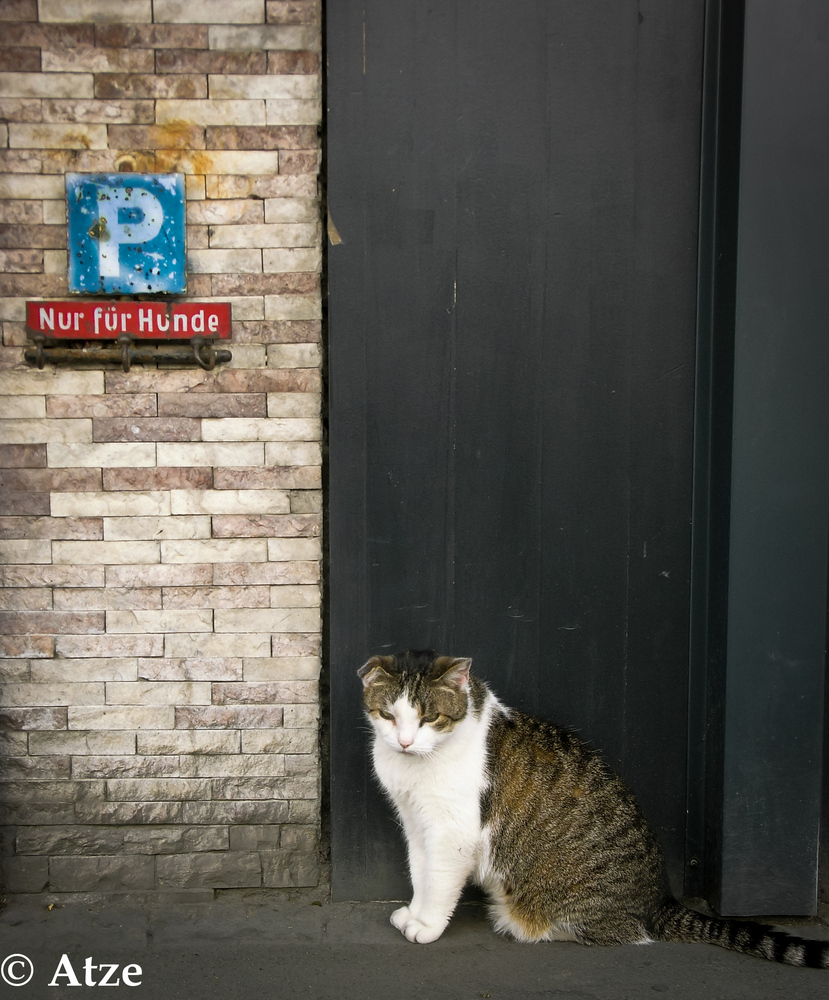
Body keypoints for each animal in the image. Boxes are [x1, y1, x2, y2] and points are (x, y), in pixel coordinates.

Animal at [360, 648, 828, 968]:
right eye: (388, 715)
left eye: (430, 718)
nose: (404, 741)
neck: (413, 767)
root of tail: (660, 899)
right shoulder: (416, 823)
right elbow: (420, 874)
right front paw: (414, 913)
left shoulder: (451, 831)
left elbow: (439, 882)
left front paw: (427, 926)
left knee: (627, 934)